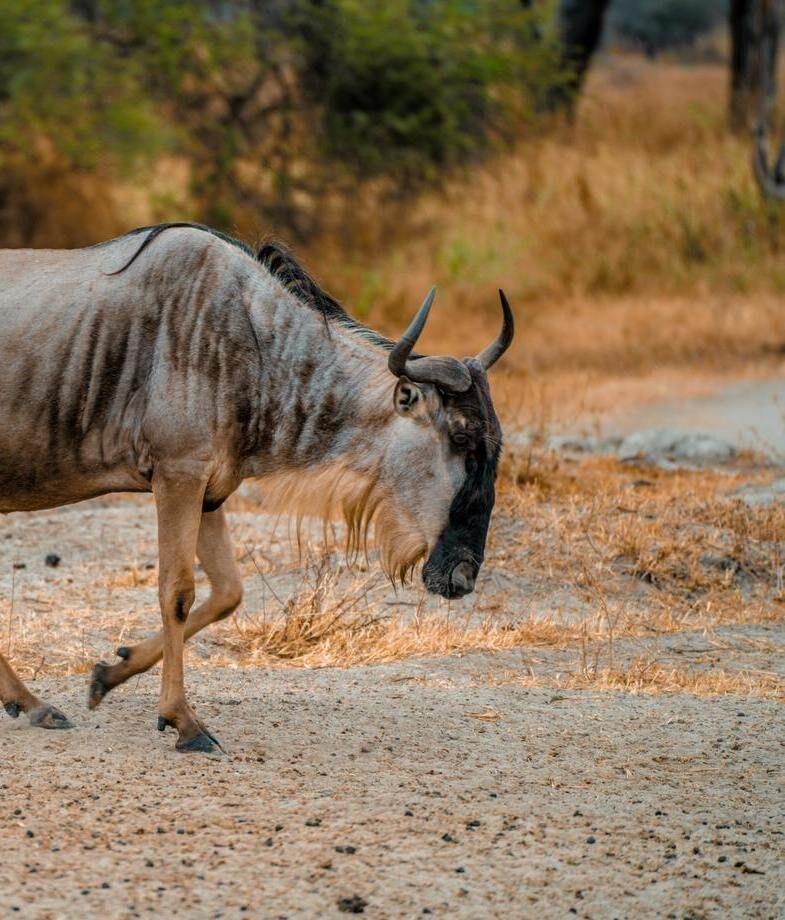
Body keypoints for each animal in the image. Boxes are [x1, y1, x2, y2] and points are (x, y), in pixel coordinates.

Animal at [0, 223, 513, 753]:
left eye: (495, 445)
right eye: (460, 437)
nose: (462, 577)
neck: (256, 345)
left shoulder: (210, 490)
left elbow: (227, 592)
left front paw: (108, 674)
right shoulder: (178, 476)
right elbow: (176, 593)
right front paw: (185, 722)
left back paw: (34, 705)